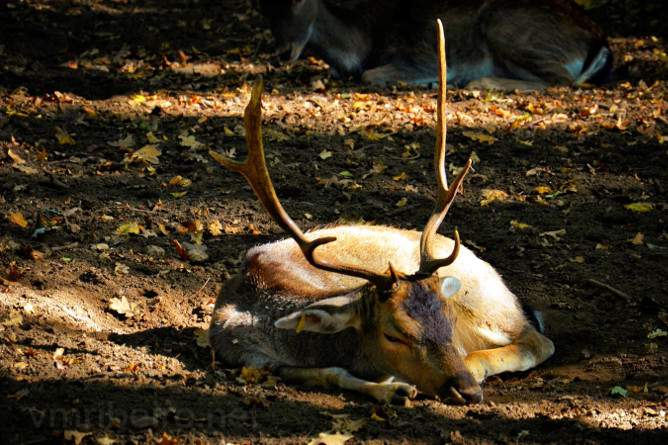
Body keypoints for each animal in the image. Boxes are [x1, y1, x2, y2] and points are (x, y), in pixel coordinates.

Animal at [210, 21, 552, 402]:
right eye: (393, 334)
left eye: (446, 322)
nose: (466, 390)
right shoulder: (249, 356)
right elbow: (330, 373)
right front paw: (393, 389)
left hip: (484, 302)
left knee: (538, 340)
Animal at [254, 0, 612, 90]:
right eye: (264, 6)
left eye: (299, 0)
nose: (281, 52)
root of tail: (601, 41)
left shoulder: (420, 55)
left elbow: (370, 75)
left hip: (507, 28)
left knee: (561, 80)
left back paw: (475, 82)